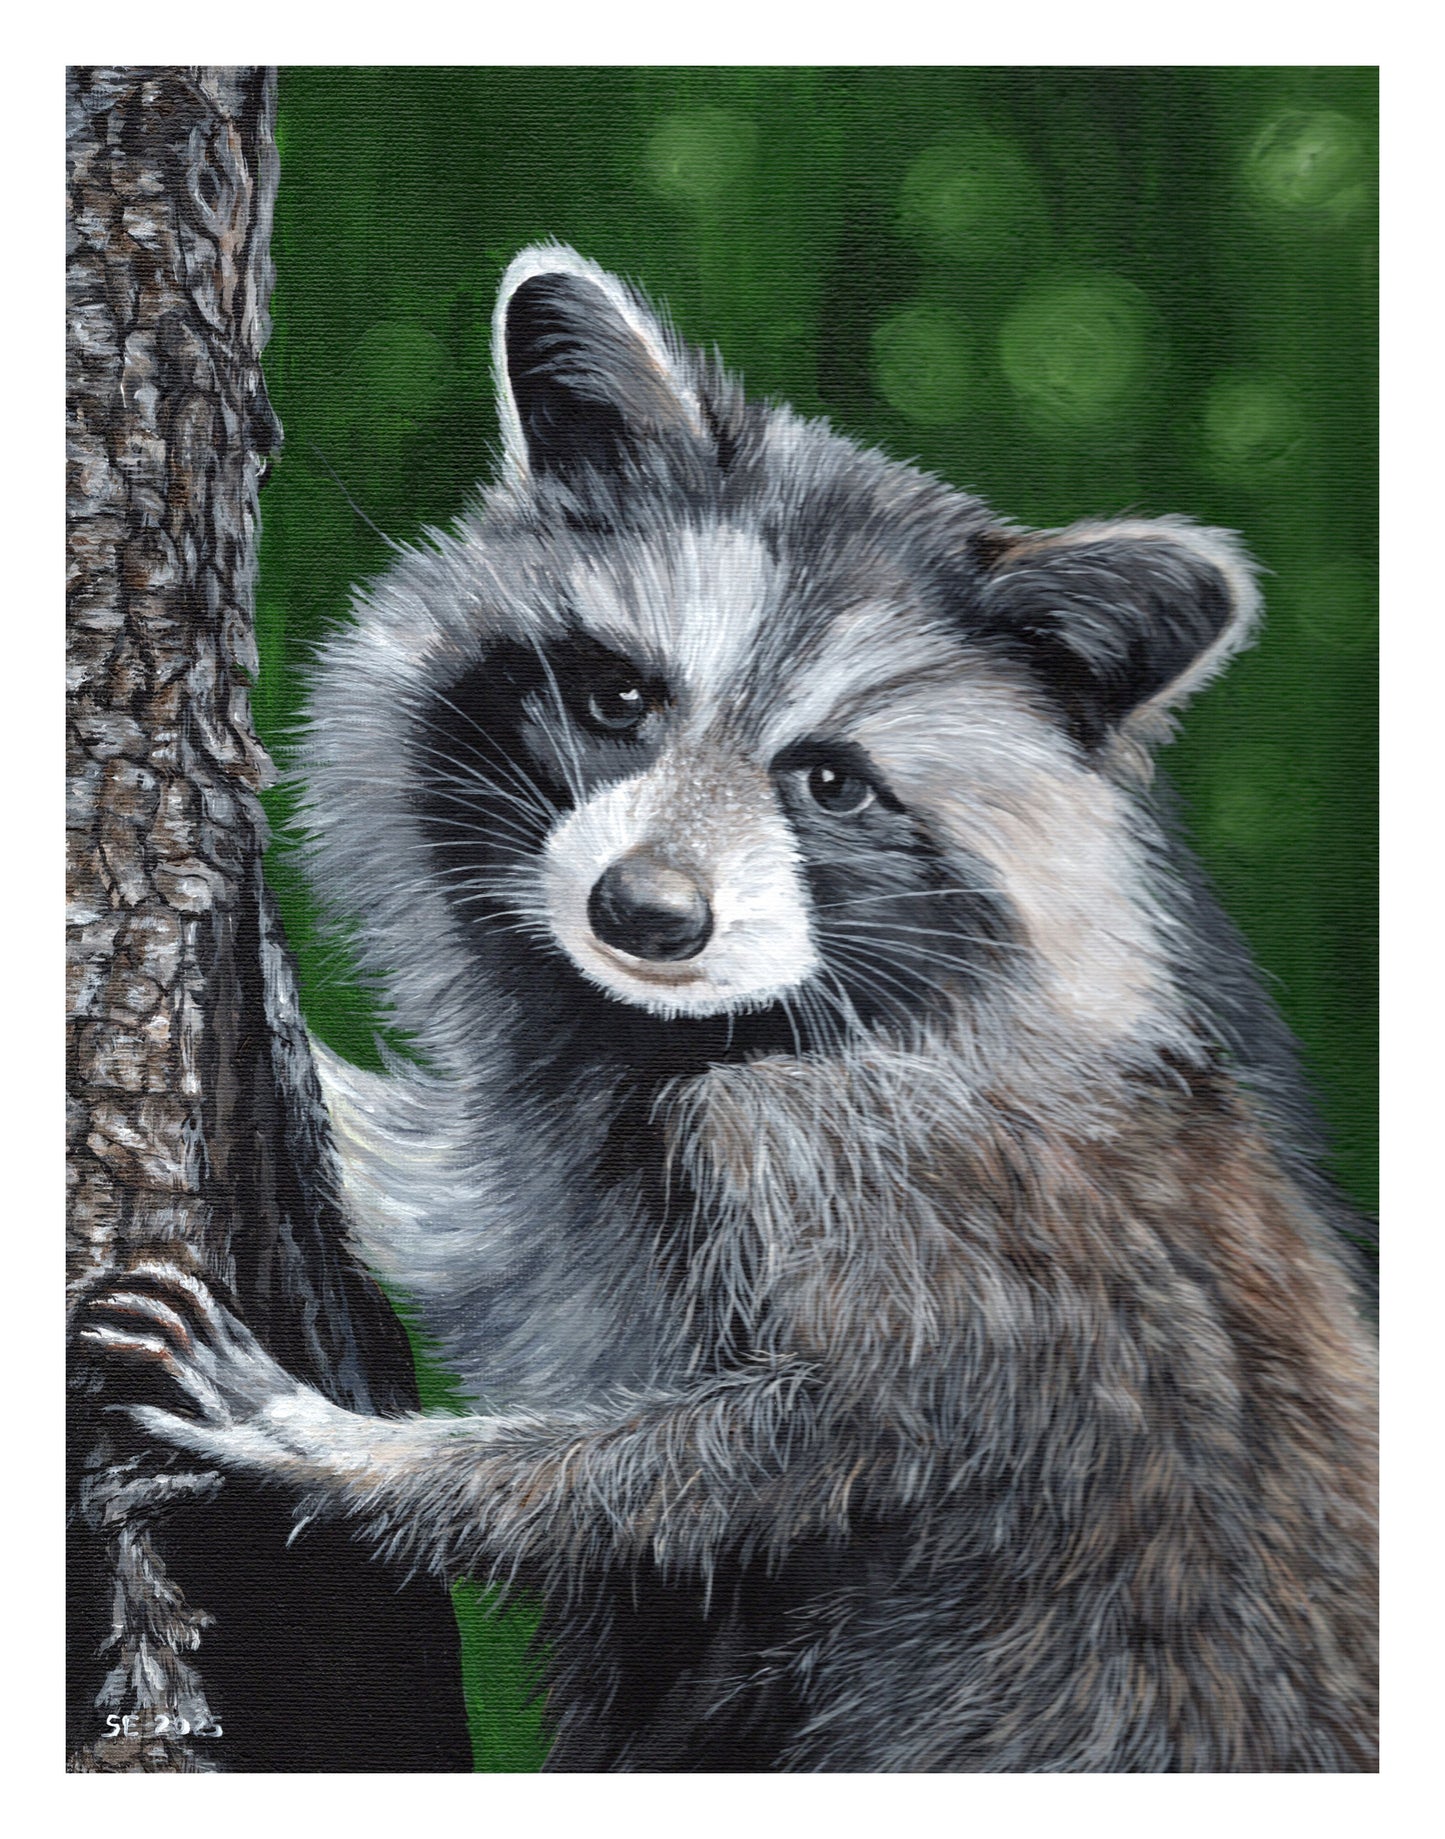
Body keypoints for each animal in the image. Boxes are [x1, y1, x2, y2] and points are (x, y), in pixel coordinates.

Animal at [85, 245, 1378, 1772]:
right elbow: (480, 1221)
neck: (684, 1030)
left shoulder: (903, 1183)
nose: (644, 914)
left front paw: (339, 1449)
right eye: (616, 695)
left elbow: (778, 1452)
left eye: (829, 782)